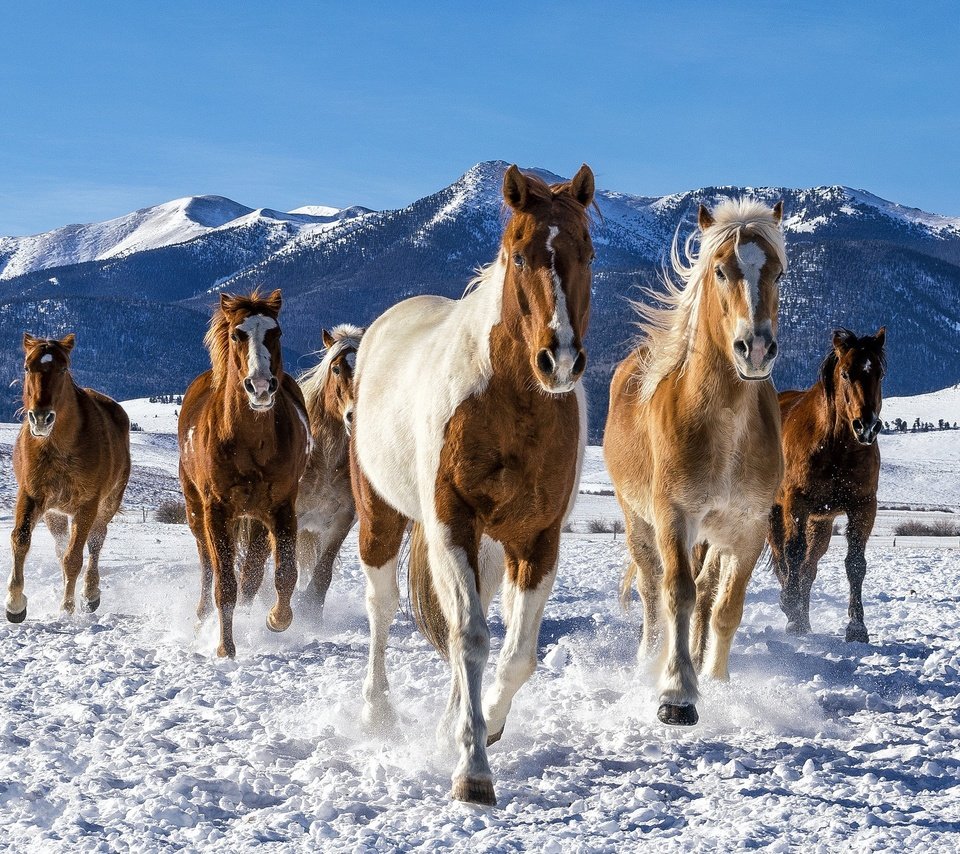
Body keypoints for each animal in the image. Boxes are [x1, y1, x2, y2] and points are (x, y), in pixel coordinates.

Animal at [5, 332, 130, 620]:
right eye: (27, 367)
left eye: (63, 369)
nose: (41, 418)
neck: (57, 447)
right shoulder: (31, 496)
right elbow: (21, 539)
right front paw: (14, 604)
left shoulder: (87, 505)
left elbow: (74, 558)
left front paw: (67, 607)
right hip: (55, 515)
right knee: (61, 548)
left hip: (106, 505)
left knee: (95, 543)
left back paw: (90, 594)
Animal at [180, 290, 312, 660]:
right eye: (238, 334)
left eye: (276, 332)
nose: (261, 386)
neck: (250, 442)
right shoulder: (216, 511)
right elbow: (224, 583)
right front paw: (225, 647)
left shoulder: (282, 509)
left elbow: (284, 573)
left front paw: (276, 620)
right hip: (196, 513)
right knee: (207, 565)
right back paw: (202, 619)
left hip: (257, 519)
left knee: (252, 571)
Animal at [348, 164, 596, 804]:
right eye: (518, 253)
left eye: (587, 251)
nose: (559, 359)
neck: (509, 403)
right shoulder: (451, 523)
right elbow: (470, 638)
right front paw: (473, 770)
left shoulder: (537, 539)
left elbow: (517, 654)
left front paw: (486, 725)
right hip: (381, 518)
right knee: (381, 607)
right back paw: (376, 714)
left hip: (486, 545)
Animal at [608, 199, 788, 728]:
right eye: (721, 270)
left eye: (779, 273)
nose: (756, 348)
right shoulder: (674, 517)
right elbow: (677, 595)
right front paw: (676, 693)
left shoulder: (749, 528)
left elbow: (726, 605)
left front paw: (717, 679)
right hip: (638, 520)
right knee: (651, 590)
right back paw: (648, 661)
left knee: (706, 592)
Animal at [768, 328, 888, 640]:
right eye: (845, 373)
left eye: (880, 373)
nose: (866, 426)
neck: (836, 446)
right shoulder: (796, 504)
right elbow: (793, 553)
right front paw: (791, 611)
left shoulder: (863, 506)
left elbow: (855, 564)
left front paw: (857, 628)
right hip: (774, 513)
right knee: (783, 559)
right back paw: (791, 608)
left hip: (820, 523)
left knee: (809, 567)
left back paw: (804, 617)